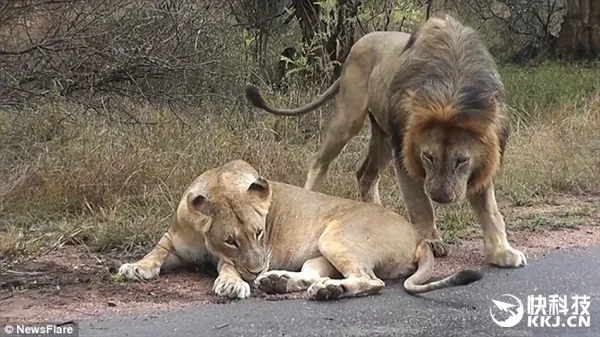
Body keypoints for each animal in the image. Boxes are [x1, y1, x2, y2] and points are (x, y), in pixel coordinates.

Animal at [118, 159, 482, 300]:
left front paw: (232, 284)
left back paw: (324, 291)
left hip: (336, 237)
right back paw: (278, 282)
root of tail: (419, 238)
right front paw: (135, 267)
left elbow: (225, 268)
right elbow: (157, 250)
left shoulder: (230, 258)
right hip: (321, 252)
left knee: (371, 281)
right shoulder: (175, 238)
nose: (256, 269)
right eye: (231, 240)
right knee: (313, 275)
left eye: (260, 233)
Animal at [244, 15, 524, 268]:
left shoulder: (482, 163)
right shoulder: (405, 152)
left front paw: (503, 252)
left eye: (462, 160)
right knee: (320, 162)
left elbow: (491, 212)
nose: (441, 197)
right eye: (428, 157)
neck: (452, 89)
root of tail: (357, 44)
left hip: (383, 136)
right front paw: (432, 241)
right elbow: (421, 205)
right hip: (350, 118)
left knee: (366, 175)